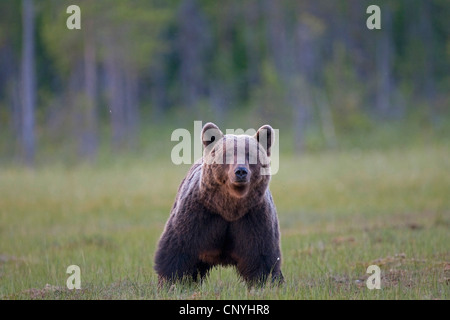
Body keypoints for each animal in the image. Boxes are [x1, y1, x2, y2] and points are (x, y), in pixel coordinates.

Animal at [153, 122, 284, 284]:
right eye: (228, 154)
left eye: (251, 155)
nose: (241, 171)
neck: (228, 208)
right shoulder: (200, 215)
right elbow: (178, 249)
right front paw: (173, 281)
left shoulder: (253, 217)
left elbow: (262, 257)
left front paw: (265, 281)